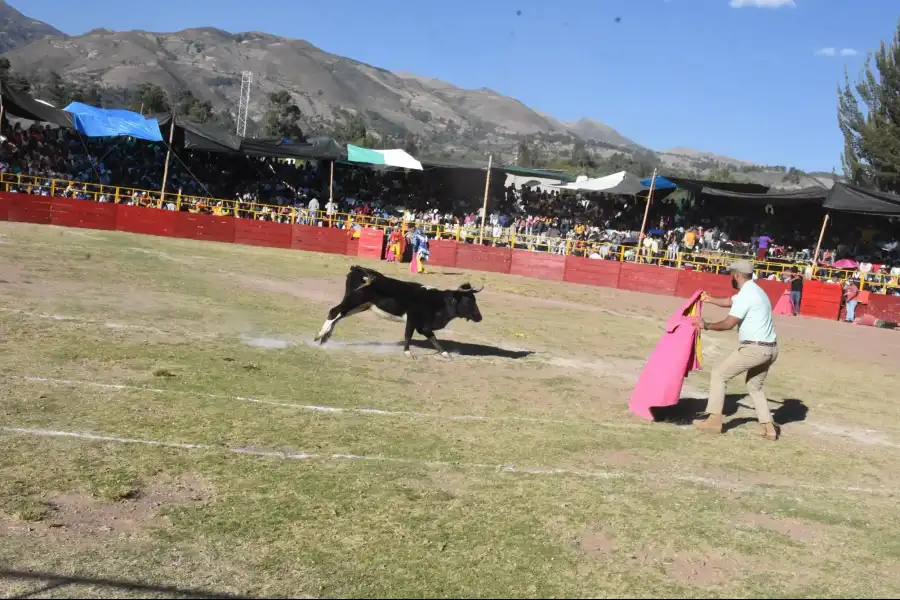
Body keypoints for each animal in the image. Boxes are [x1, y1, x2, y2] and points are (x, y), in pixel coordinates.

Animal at [316, 266, 486, 358]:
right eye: (468, 301)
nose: (479, 317)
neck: (438, 301)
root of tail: (358, 269)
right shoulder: (412, 320)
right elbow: (408, 336)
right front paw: (408, 354)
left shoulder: (423, 326)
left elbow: (433, 338)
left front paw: (446, 354)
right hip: (354, 300)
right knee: (334, 311)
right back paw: (319, 335)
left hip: (361, 305)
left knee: (339, 315)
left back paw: (324, 339)